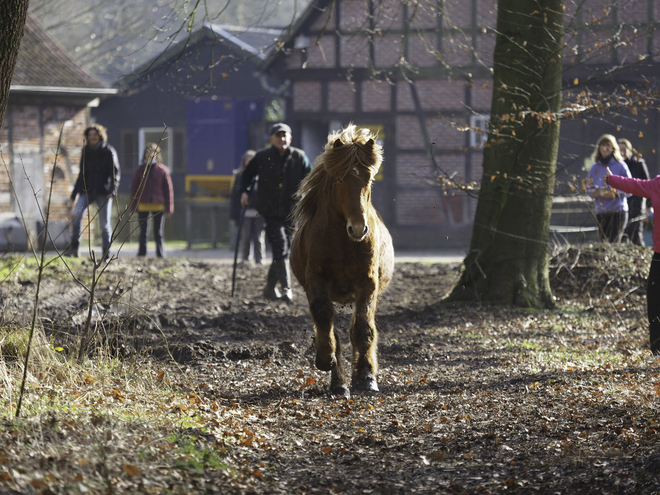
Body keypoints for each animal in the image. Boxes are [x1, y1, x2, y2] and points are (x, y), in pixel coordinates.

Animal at [288, 125, 392, 400]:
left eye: (368, 179)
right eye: (340, 179)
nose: (358, 229)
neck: (343, 241)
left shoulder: (367, 284)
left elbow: (363, 328)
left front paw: (366, 377)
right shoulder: (316, 280)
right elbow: (324, 319)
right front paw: (325, 359)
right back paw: (339, 383)